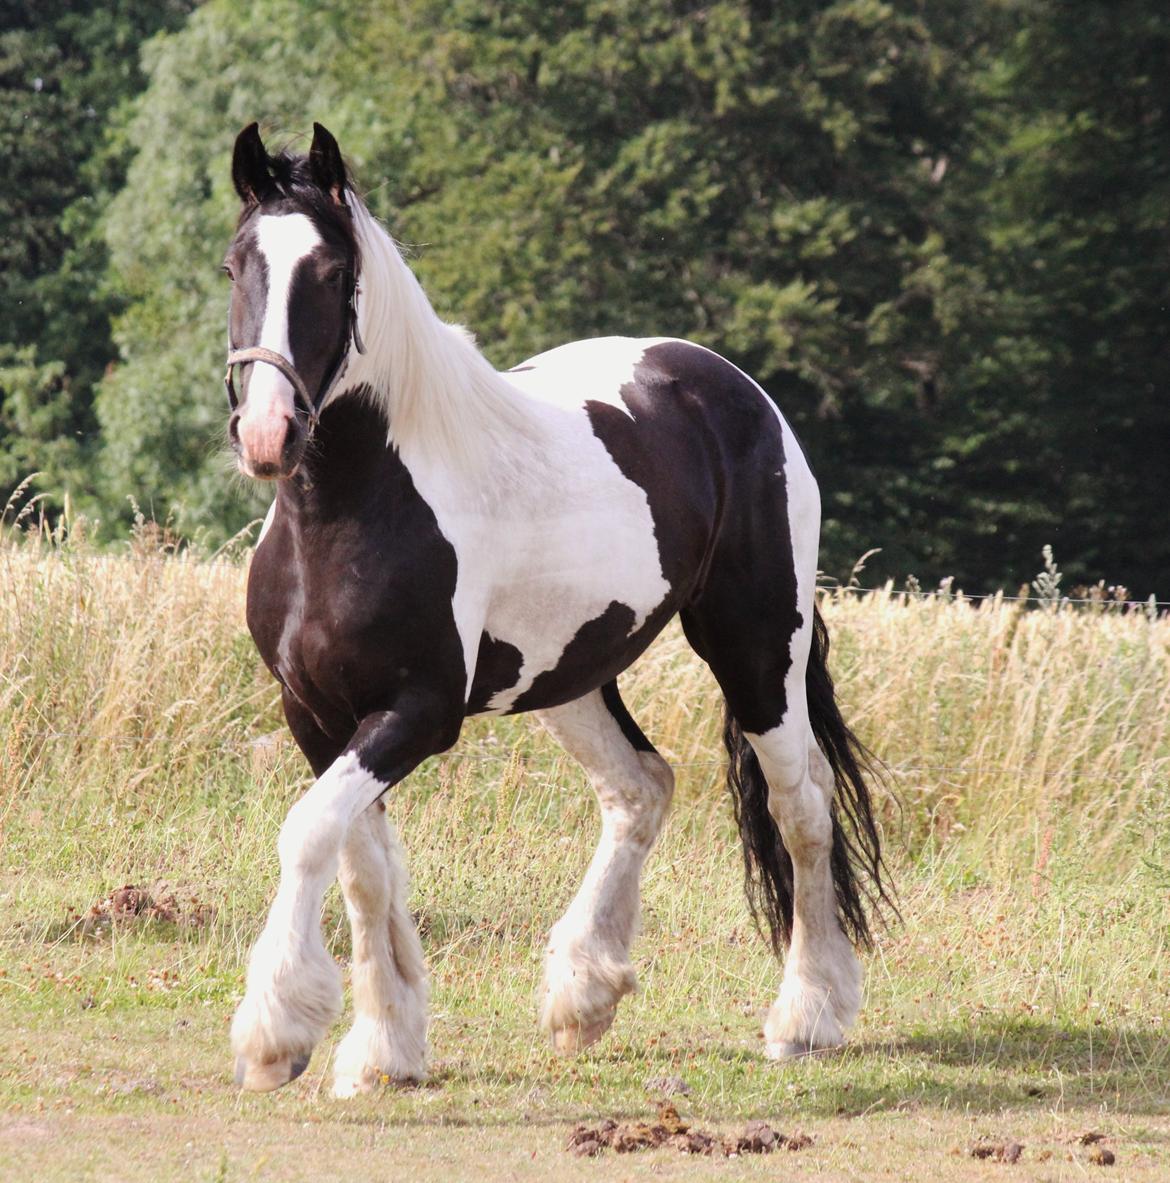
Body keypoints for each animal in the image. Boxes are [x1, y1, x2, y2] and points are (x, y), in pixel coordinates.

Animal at [223, 122, 889, 1097]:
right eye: (237, 266)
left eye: (333, 273)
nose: (269, 434)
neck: (353, 509)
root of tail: (732, 387)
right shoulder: (316, 713)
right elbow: (363, 865)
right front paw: (387, 1045)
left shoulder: (418, 712)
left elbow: (310, 834)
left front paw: (278, 1030)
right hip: (573, 676)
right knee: (640, 785)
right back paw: (586, 991)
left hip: (759, 648)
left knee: (800, 804)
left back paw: (808, 1013)